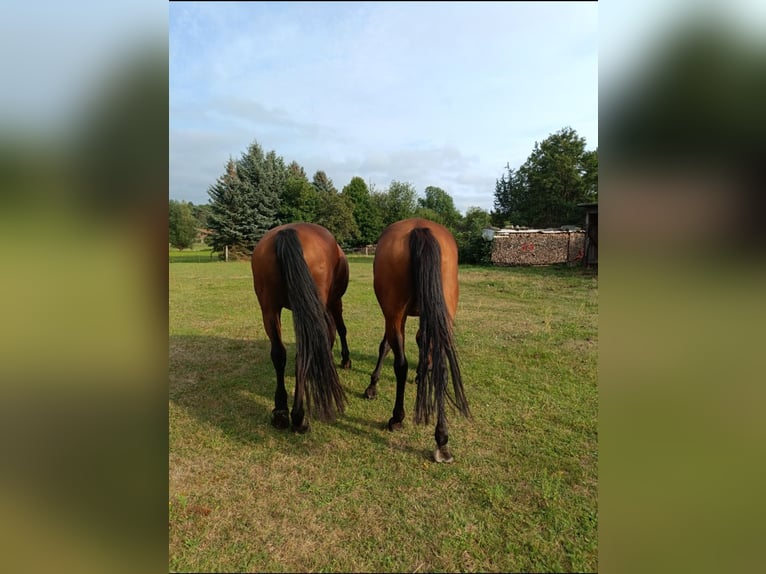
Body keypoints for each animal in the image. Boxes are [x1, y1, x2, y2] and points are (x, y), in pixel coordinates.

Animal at [252, 223, 352, 434]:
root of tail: (287, 232)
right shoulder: (335, 302)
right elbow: (341, 329)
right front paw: (345, 360)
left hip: (269, 308)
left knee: (280, 354)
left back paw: (281, 412)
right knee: (303, 354)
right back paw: (298, 416)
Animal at [364, 219, 472, 464]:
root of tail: (419, 228)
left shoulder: (391, 316)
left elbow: (385, 346)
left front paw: (372, 386)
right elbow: (423, 341)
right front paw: (423, 373)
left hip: (395, 314)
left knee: (400, 364)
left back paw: (397, 418)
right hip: (443, 312)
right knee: (442, 368)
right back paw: (442, 439)